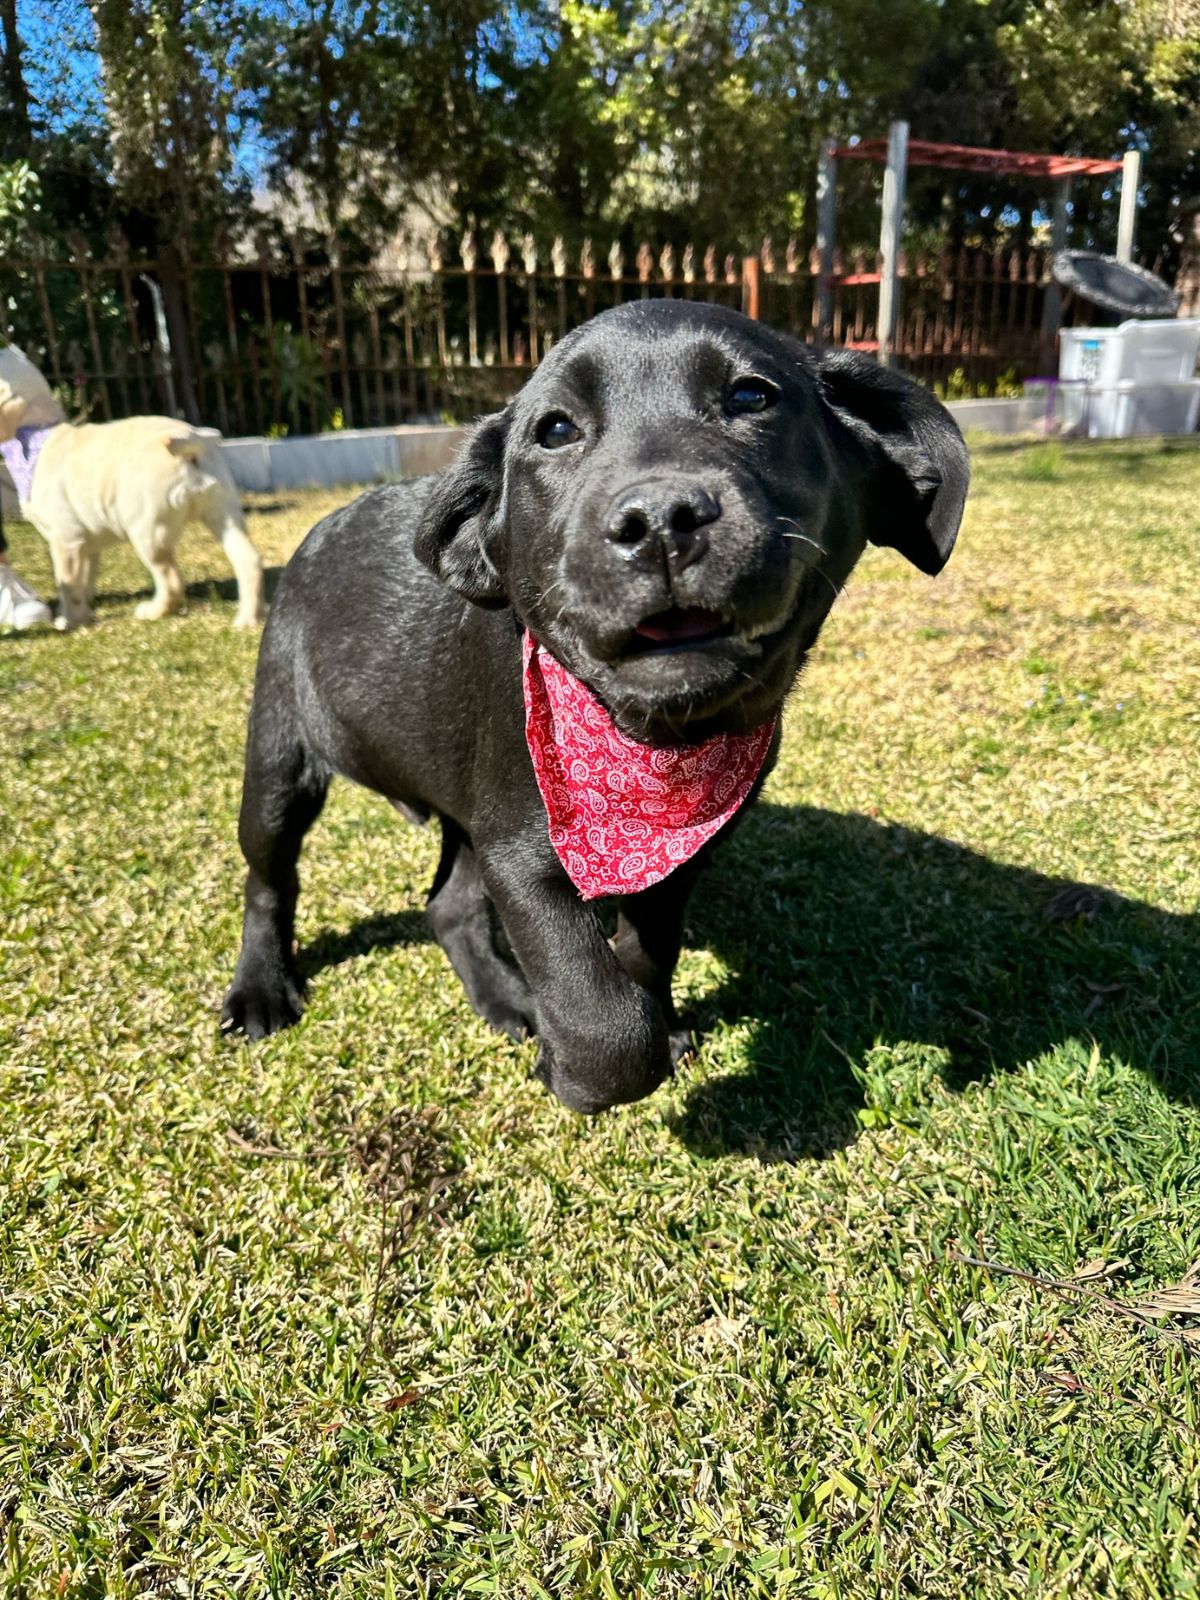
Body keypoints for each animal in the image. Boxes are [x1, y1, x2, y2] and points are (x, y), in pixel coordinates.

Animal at [0, 344, 265, 630]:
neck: (36, 431)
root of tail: (190, 440)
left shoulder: (66, 539)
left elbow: (68, 585)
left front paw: (68, 620)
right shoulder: (85, 544)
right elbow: (83, 581)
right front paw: (82, 614)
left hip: (147, 528)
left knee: (171, 580)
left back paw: (154, 611)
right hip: (223, 511)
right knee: (248, 560)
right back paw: (248, 619)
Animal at [220, 305, 966, 1120]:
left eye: (751, 397)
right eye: (555, 431)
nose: (661, 519)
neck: (655, 741)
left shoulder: (675, 854)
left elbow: (647, 949)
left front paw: (649, 1019)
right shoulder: (523, 855)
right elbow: (599, 1014)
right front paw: (575, 1068)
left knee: (448, 905)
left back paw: (507, 1000)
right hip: (279, 762)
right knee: (269, 880)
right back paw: (260, 990)